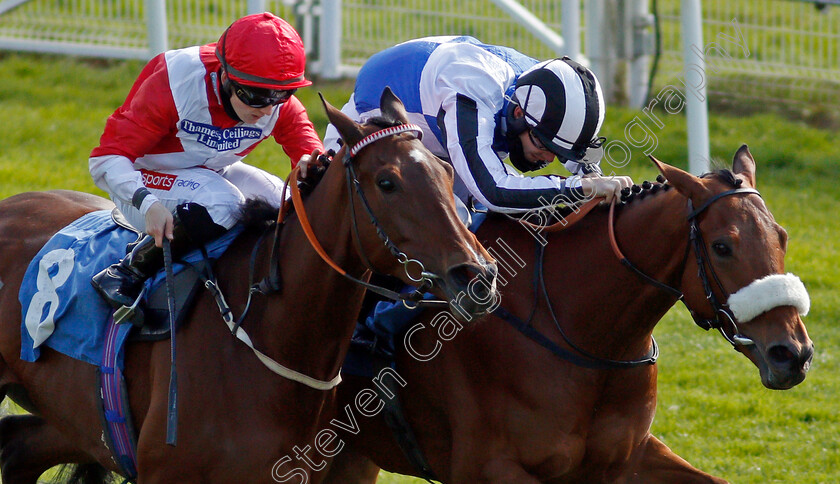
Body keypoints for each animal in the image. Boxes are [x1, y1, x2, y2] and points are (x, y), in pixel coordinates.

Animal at [0, 91, 498, 484]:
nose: (476, 276)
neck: (265, 333)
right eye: (387, 182)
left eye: (447, 171)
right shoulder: (166, 471)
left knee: (19, 449)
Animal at [322, 147, 812, 484]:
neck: (591, 344)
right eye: (722, 246)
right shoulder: (487, 468)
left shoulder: (625, 458)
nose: (793, 354)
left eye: (783, 236)